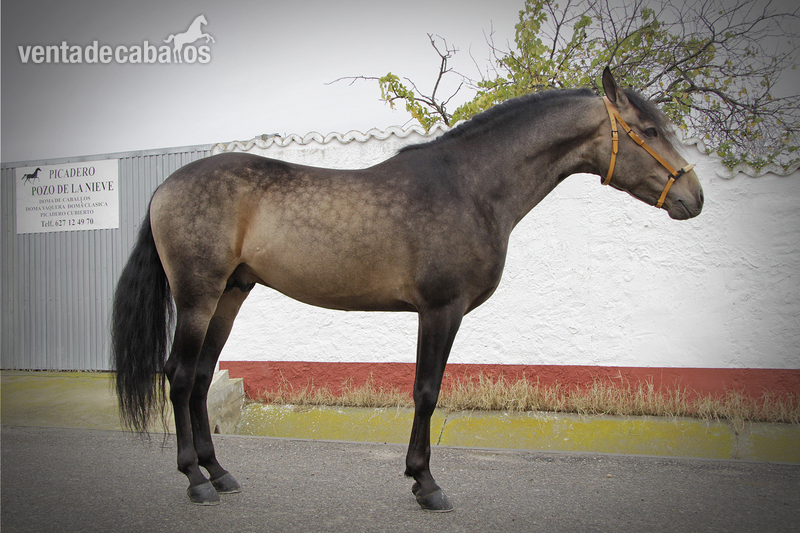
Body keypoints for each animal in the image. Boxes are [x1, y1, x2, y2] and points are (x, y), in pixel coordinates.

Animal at [111, 68, 703, 511]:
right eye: (649, 130)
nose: (694, 197)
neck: (470, 186)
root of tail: (165, 186)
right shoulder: (441, 310)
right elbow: (426, 391)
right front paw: (426, 484)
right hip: (198, 296)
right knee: (180, 376)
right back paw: (196, 480)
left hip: (231, 295)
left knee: (202, 378)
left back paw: (220, 472)